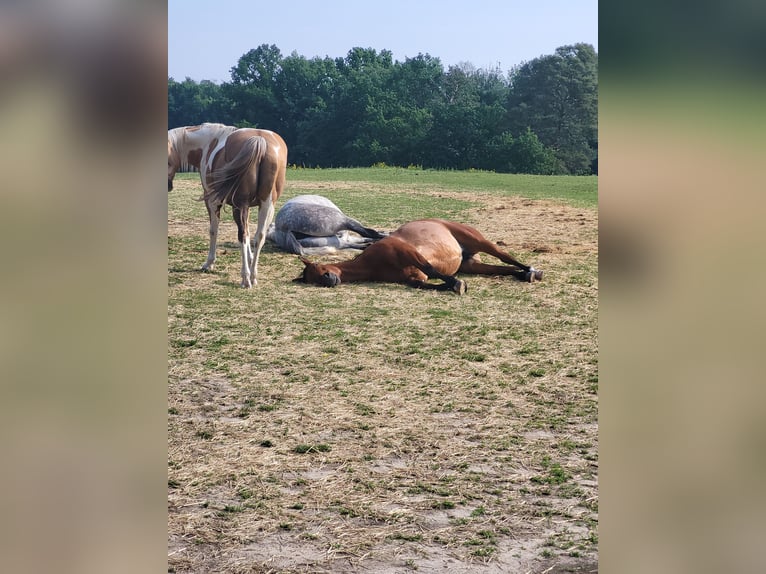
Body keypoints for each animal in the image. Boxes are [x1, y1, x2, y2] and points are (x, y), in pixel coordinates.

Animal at [168, 122, 288, 288]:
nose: (167, 186)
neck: (208, 143)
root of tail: (260, 141)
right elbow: (250, 232)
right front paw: (250, 259)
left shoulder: (212, 201)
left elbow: (213, 230)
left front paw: (209, 263)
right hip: (266, 205)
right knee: (259, 236)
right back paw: (253, 276)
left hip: (240, 206)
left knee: (242, 236)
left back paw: (245, 278)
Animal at [295, 219, 543, 294]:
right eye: (313, 280)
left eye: (317, 268)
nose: (330, 280)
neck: (372, 262)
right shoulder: (414, 277)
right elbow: (425, 284)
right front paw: (450, 286)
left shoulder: (412, 254)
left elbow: (433, 270)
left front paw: (457, 284)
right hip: (471, 264)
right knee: (503, 268)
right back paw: (524, 275)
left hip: (479, 241)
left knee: (505, 258)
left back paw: (532, 270)